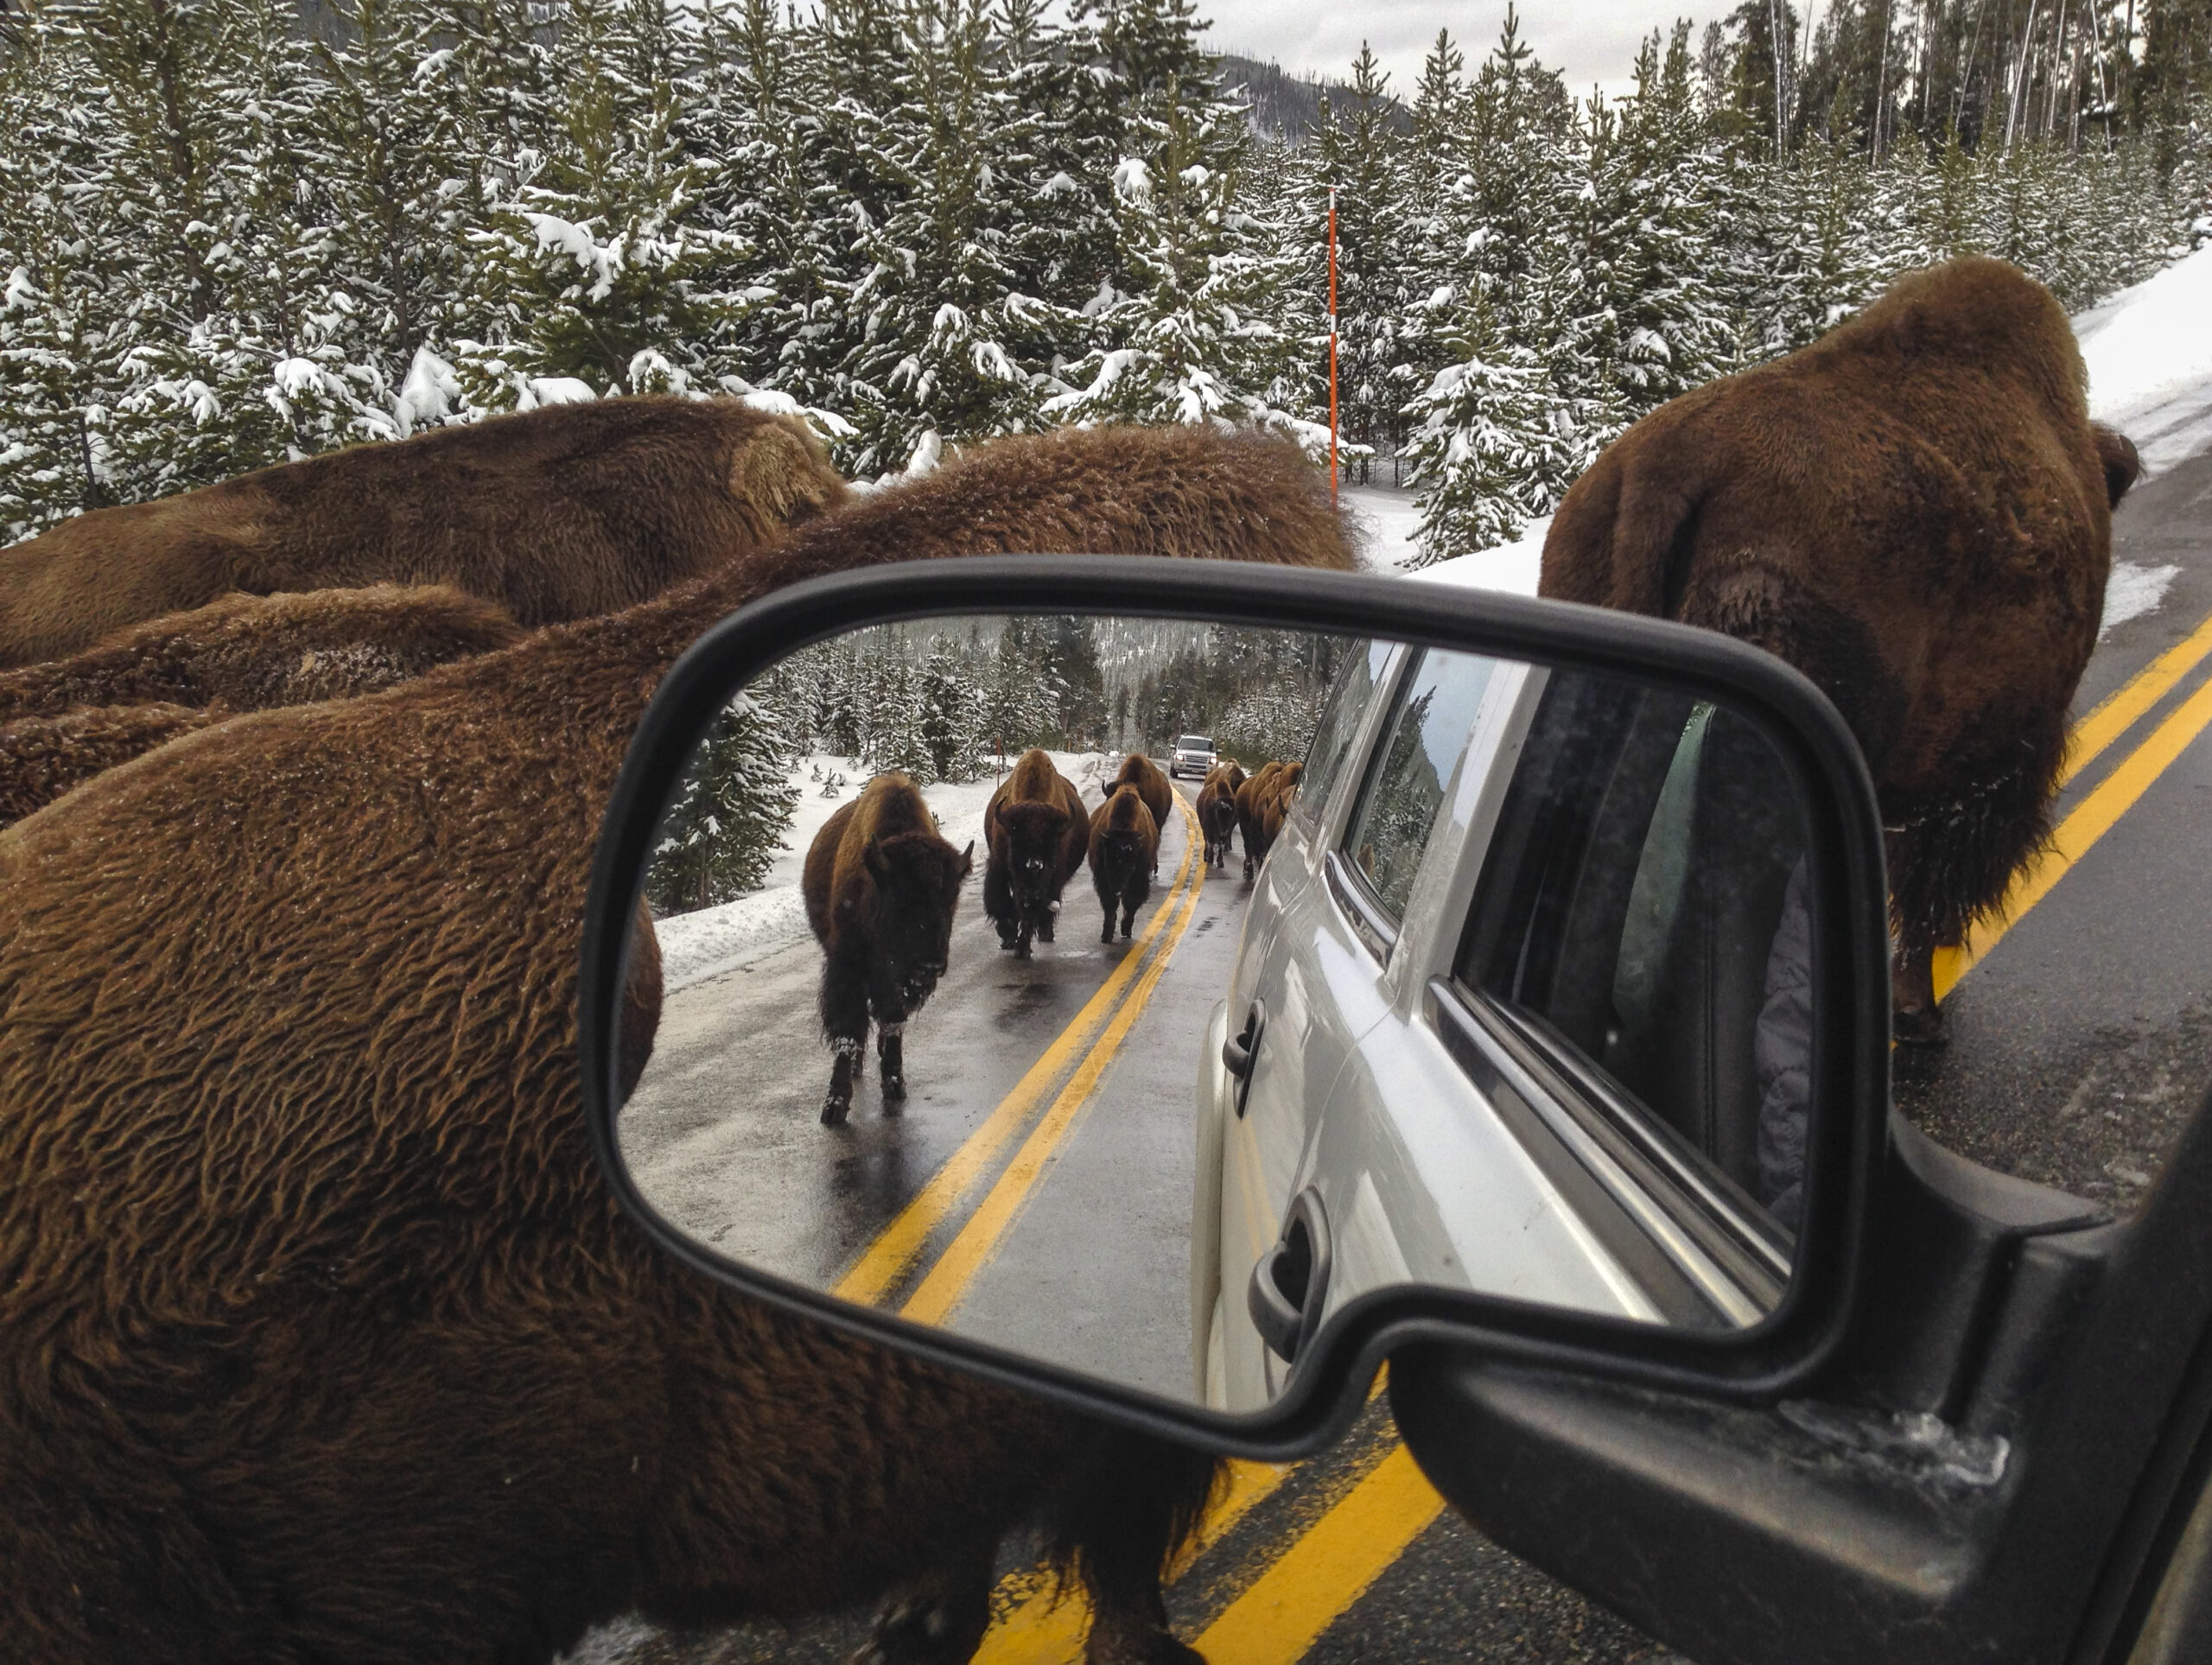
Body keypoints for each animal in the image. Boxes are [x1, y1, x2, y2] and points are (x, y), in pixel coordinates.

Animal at [802, 772, 972, 1125]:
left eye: (950, 901)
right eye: (901, 899)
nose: (931, 965)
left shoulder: (893, 985)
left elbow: (892, 1023)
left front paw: (895, 1084)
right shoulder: (848, 969)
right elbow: (848, 1033)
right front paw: (834, 1106)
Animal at [983, 747, 1089, 957]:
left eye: (1051, 848)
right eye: (1015, 846)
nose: (1030, 895)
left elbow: (1032, 914)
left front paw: (1022, 948)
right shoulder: (999, 866)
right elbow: (1002, 902)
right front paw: (1008, 937)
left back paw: (1045, 935)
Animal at [1088, 784, 1161, 942]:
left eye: (1132, 864)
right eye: (1108, 860)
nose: (1118, 889)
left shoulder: (1139, 878)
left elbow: (1131, 903)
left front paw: (1126, 929)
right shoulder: (1103, 878)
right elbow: (1110, 906)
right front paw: (1106, 935)